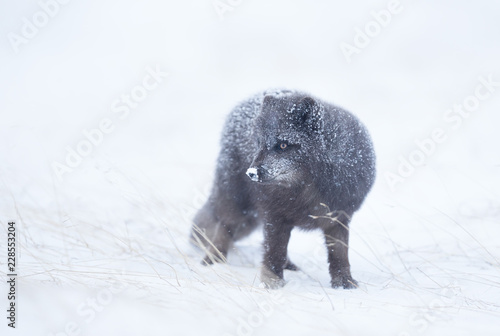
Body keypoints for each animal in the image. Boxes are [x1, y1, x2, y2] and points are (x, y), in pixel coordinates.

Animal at [191, 88, 376, 288]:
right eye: (259, 143)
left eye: (283, 144)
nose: (251, 173)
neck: (306, 190)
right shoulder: (275, 216)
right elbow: (274, 253)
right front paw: (273, 284)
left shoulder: (338, 217)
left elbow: (340, 255)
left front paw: (343, 283)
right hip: (239, 207)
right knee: (223, 228)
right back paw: (213, 262)